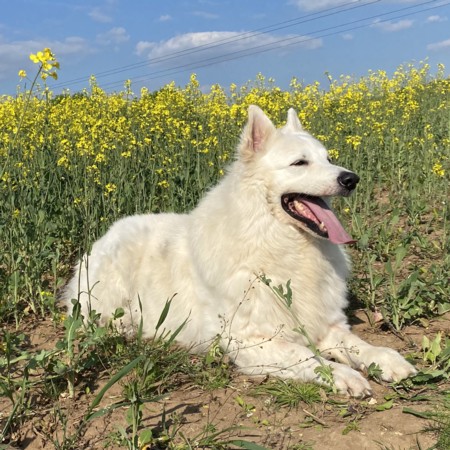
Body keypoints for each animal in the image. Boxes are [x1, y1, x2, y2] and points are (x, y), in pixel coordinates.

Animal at [62, 105, 416, 397]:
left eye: (328, 159)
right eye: (300, 163)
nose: (351, 179)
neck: (278, 245)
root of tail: (103, 236)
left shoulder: (325, 323)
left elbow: (357, 344)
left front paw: (386, 359)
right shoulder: (251, 342)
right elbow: (307, 356)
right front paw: (344, 375)